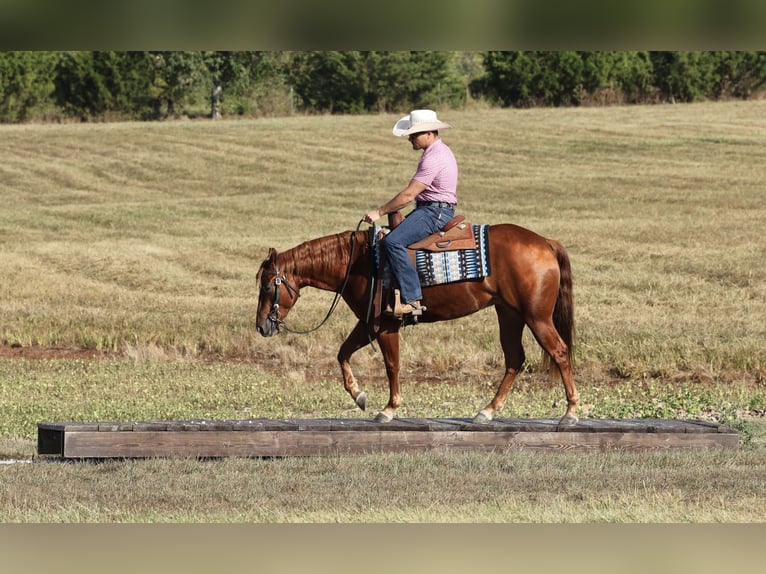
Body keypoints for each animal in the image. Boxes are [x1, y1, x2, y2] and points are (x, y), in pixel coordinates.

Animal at [255, 223, 579, 426]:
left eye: (268, 287)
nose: (261, 327)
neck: (358, 262)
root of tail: (546, 243)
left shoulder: (386, 325)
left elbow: (392, 365)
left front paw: (388, 409)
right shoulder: (369, 323)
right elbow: (342, 353)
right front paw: (359, 396)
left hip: (536, 317)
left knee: (559, 352)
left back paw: (571, 412)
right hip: (509, 314)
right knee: (514, 358)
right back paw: (487, 411)